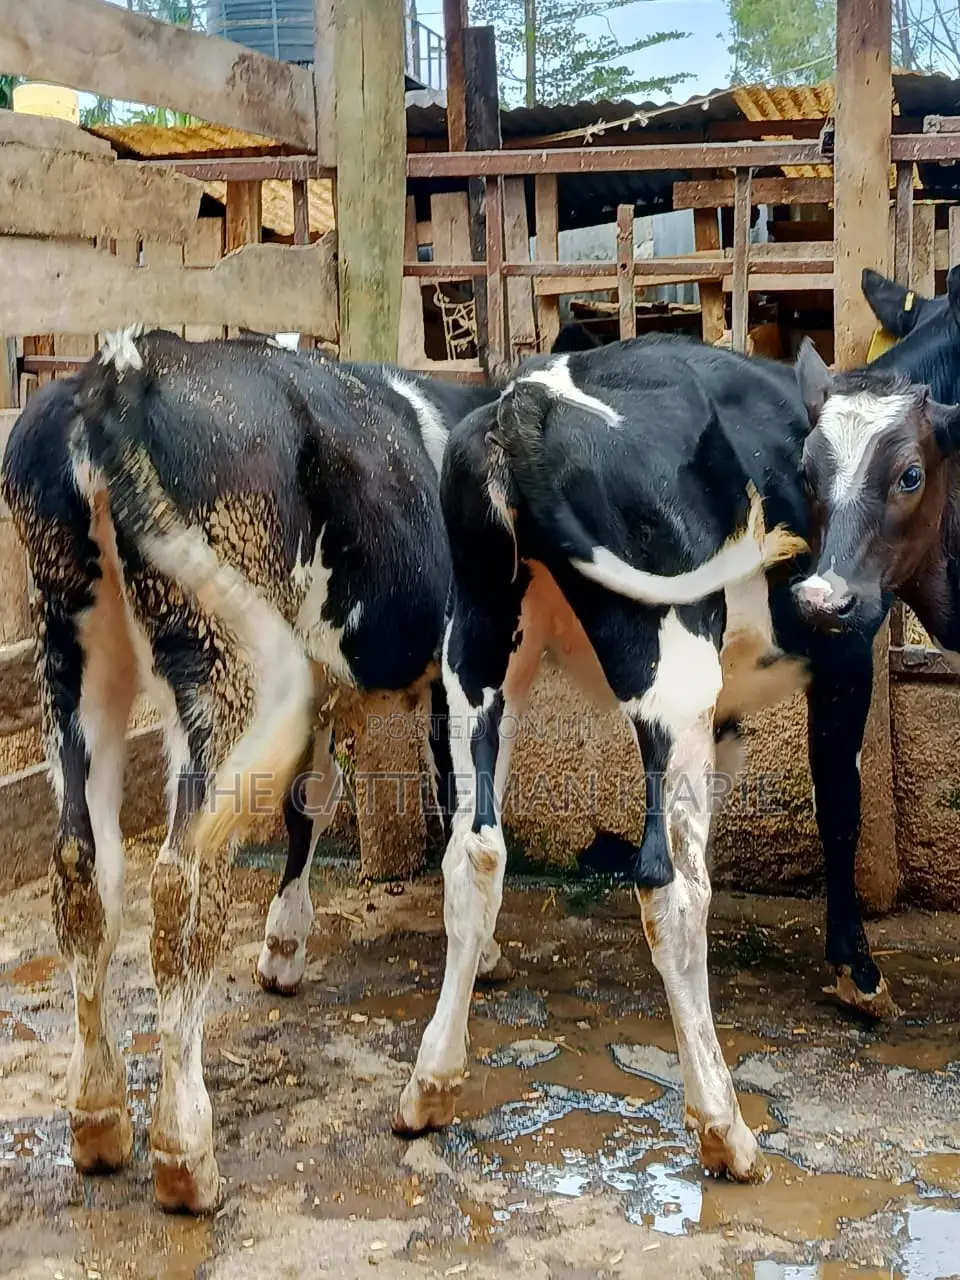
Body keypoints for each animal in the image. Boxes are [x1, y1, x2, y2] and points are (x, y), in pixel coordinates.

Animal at [0, 327, 498, 1215]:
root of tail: (117, 374)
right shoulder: (449, 668)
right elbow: (454, 815)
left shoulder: (322, 680)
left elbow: (312, 800)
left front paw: (283, 945)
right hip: (222, 666)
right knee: (181, 880)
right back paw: (184, 1148)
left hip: (71, 654)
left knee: (83, 869)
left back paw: (97, 1119)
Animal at [390, 333, 916, 1181]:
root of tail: (526, 401)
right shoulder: (846, 655)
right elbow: (840, 805)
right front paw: (859, 973)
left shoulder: (723, 716)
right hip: (671, 663)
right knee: (668, 885)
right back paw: (725, 1128)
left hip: (478, 642)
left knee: (474, 852)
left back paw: (430, 1085)